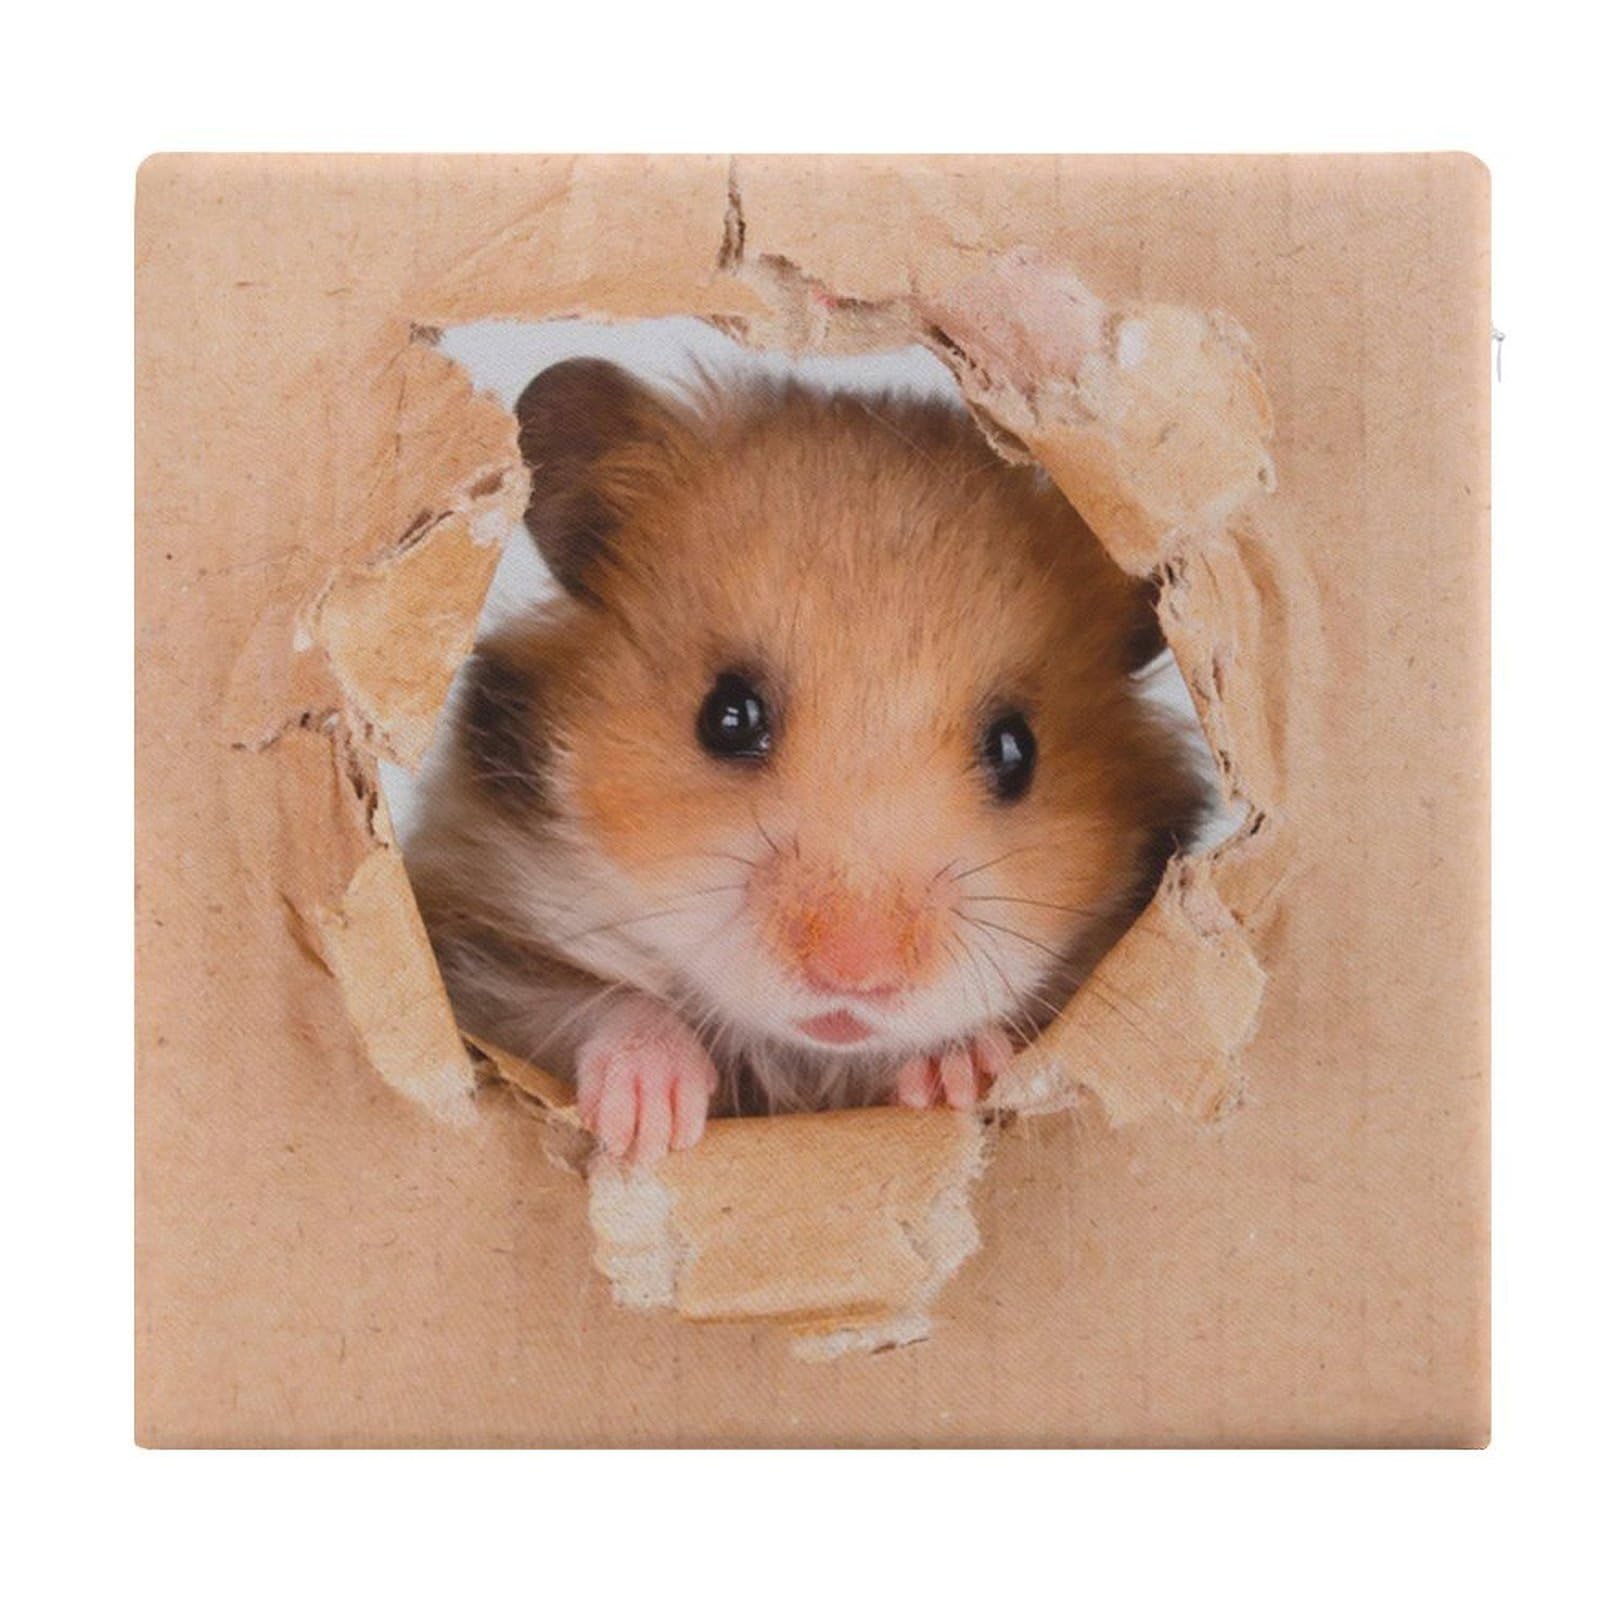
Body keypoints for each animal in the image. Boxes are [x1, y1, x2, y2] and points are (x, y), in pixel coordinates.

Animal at [406, 356, 1209, 1162]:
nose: (855, 976)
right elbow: (596, 1002)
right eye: (728, 716)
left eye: (1017, 750)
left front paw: (955, 1073)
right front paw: (652, 1120)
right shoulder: (476, 945)